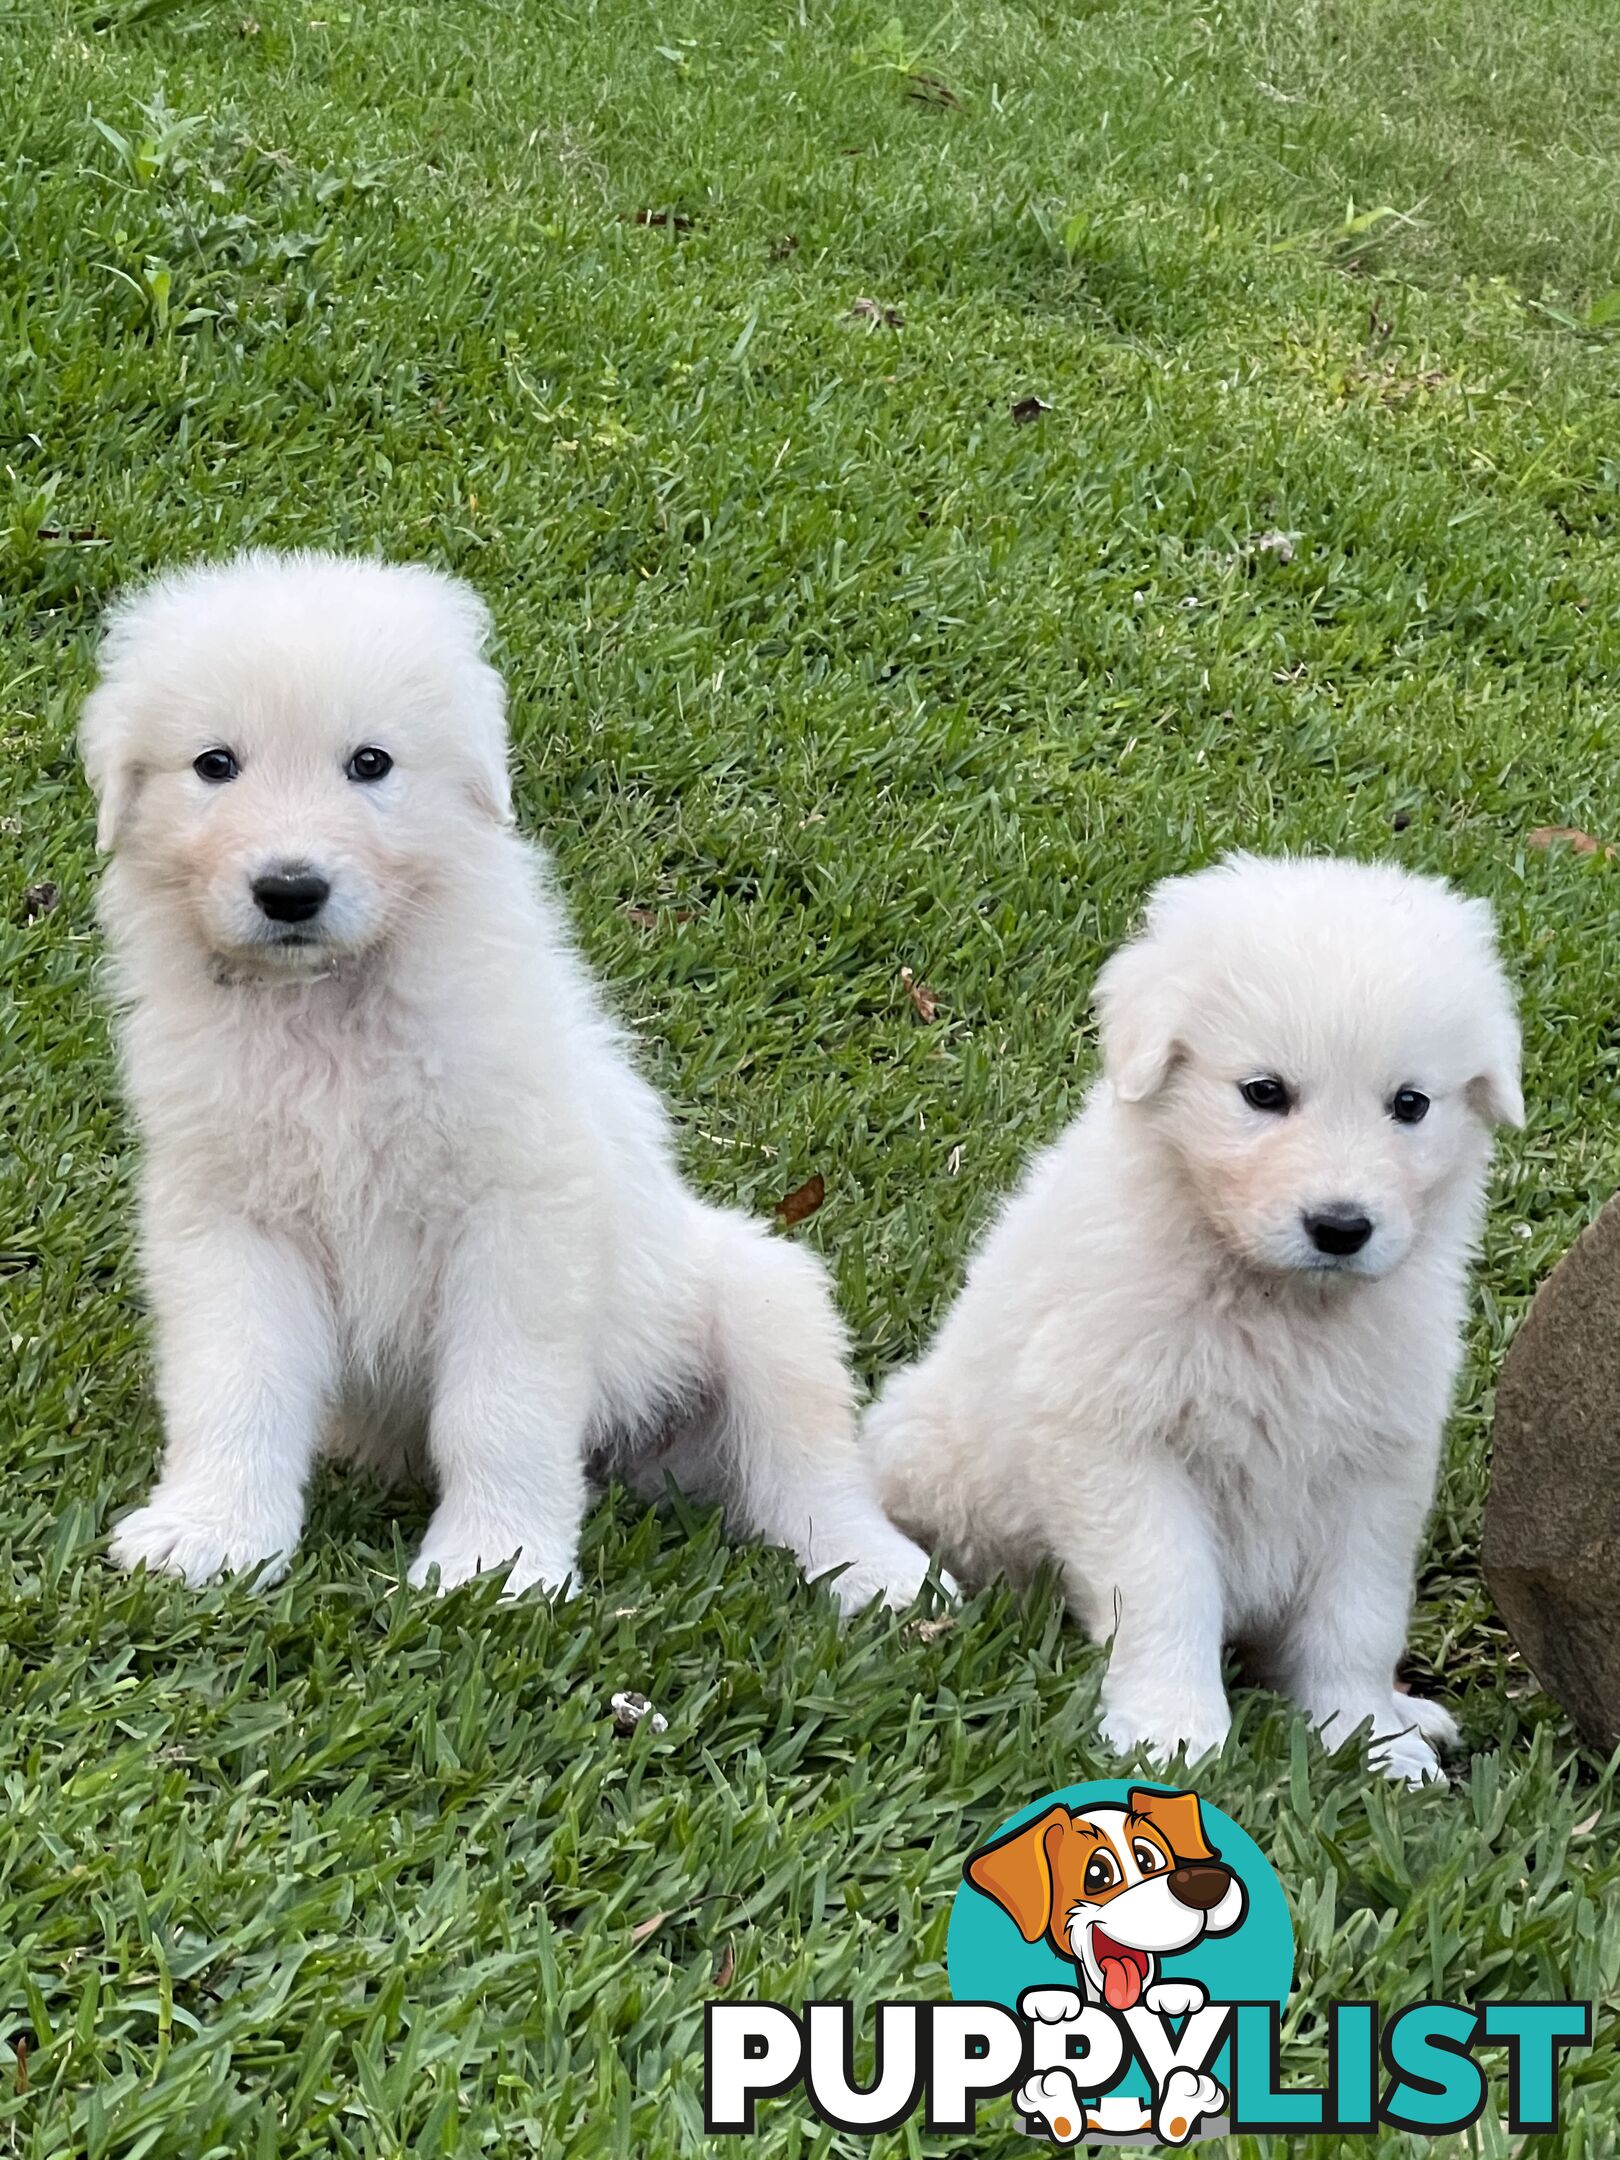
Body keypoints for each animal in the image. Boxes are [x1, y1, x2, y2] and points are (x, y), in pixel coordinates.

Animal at [82, 548, 933, 1615]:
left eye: (371, 764)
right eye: (214, 765)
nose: (290, 891)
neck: (328, 1009)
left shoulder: (520, 1218)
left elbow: (499, 1407)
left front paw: (497, 1565)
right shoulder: (227, 1219)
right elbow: (235, 1385)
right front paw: (214, 1536)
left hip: (762, 1301)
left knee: (808, 1471)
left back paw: (884, 1574)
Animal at [876, 851, 1520, 1779]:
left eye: (1410, 1104)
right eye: (1264, 1093)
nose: (1341, 1227)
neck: (1274, 1299)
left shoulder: (1378, 1462)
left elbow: (1356, 1618)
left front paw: (1370, 1738)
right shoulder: (1122, 1445)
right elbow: (1167, 1592)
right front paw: (1173, 1734)